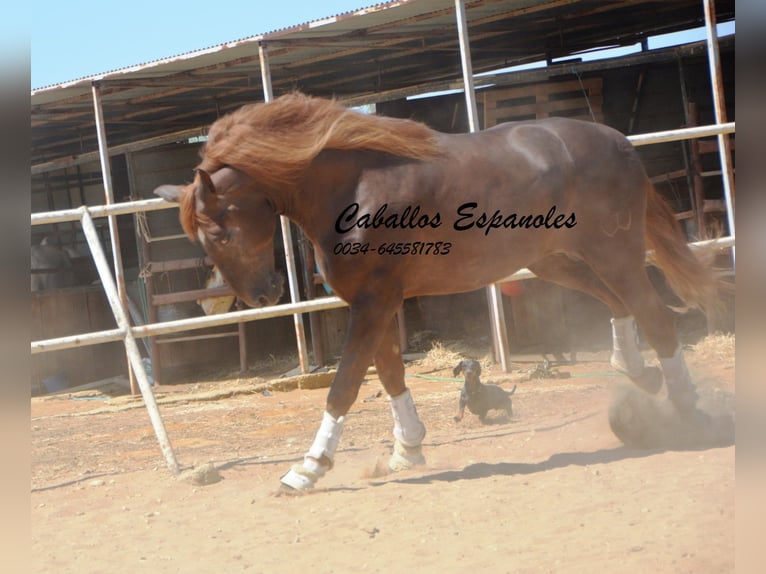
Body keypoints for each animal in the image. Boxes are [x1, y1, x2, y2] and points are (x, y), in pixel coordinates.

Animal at [156, 92, 720, 492]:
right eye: (203, 239)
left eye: (219, 232)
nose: (262, 294)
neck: (353, 190)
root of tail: (620, 143)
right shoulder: (376, 302)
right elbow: (389, 374)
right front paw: (407, 449)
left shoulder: (375, 301)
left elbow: (345, 385)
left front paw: (308, 469)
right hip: (554, 260)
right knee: (622, 307)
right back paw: (635, 374)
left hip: (613, 253)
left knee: (655, 316)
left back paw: (685, 409)